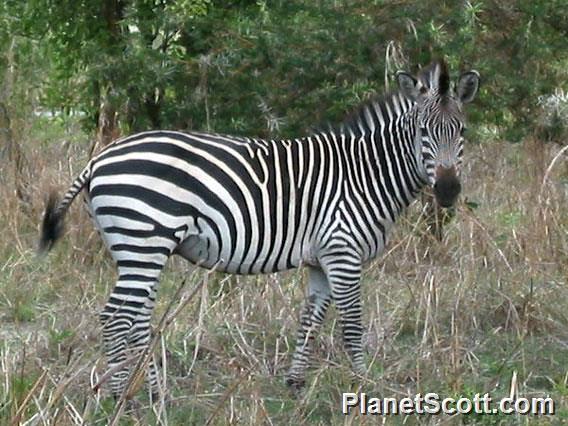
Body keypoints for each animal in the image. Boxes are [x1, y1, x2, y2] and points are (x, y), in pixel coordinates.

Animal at [38, 60, 480, 400]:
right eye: (422, 133)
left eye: (461, 132)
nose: (448, 190)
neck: (366, 174)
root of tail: (100, 159)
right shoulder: (343, 252)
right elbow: (353, 326)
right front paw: (363, 385)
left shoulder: (322, 259)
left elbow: (310, 320)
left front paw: (295, 384)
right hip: (144, 242)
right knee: (115, 316)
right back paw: (120, 400)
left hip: (137, 250)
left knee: (137, 317)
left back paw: (151, 393)